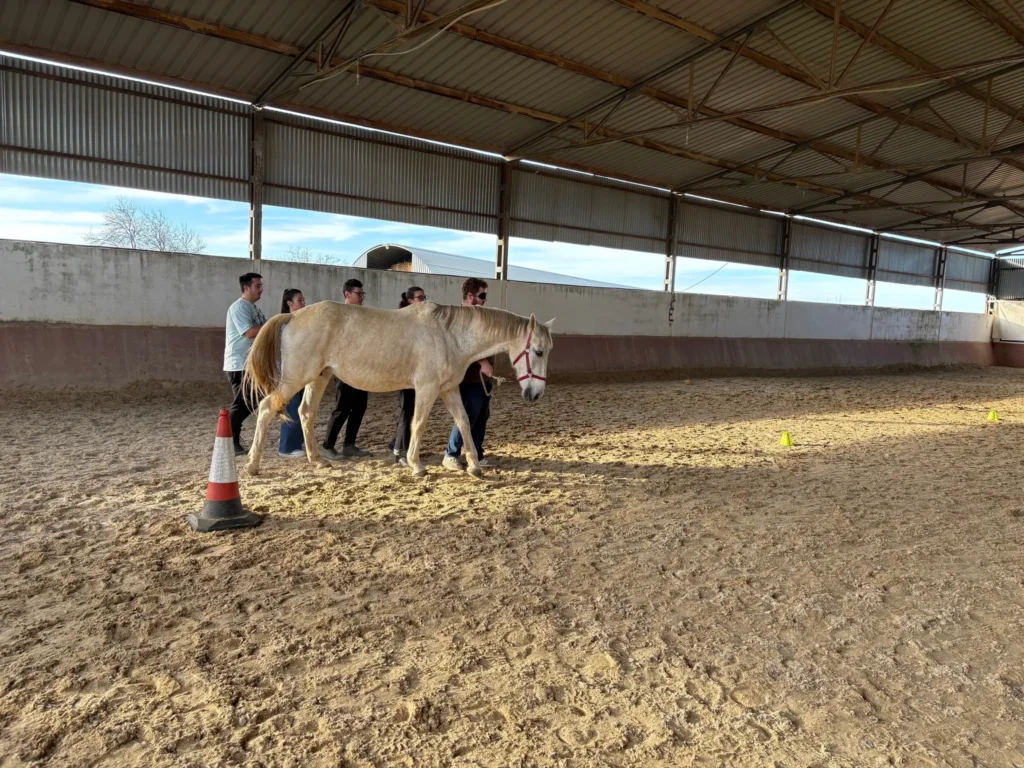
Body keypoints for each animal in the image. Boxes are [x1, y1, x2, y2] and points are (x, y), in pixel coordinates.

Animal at [242, 300, 554, 478]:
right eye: (538, 351)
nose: (536, 394)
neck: (449, 335)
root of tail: (292, 316)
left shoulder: (449, 389)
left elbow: (464, 421)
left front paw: (475, 466)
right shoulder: (427, 389)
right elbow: (418, 424)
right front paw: (416, 466)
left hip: (318, 377)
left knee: (306, 413)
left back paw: (317, 460)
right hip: (295, 378)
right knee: (267, 408)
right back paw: (253, 465)